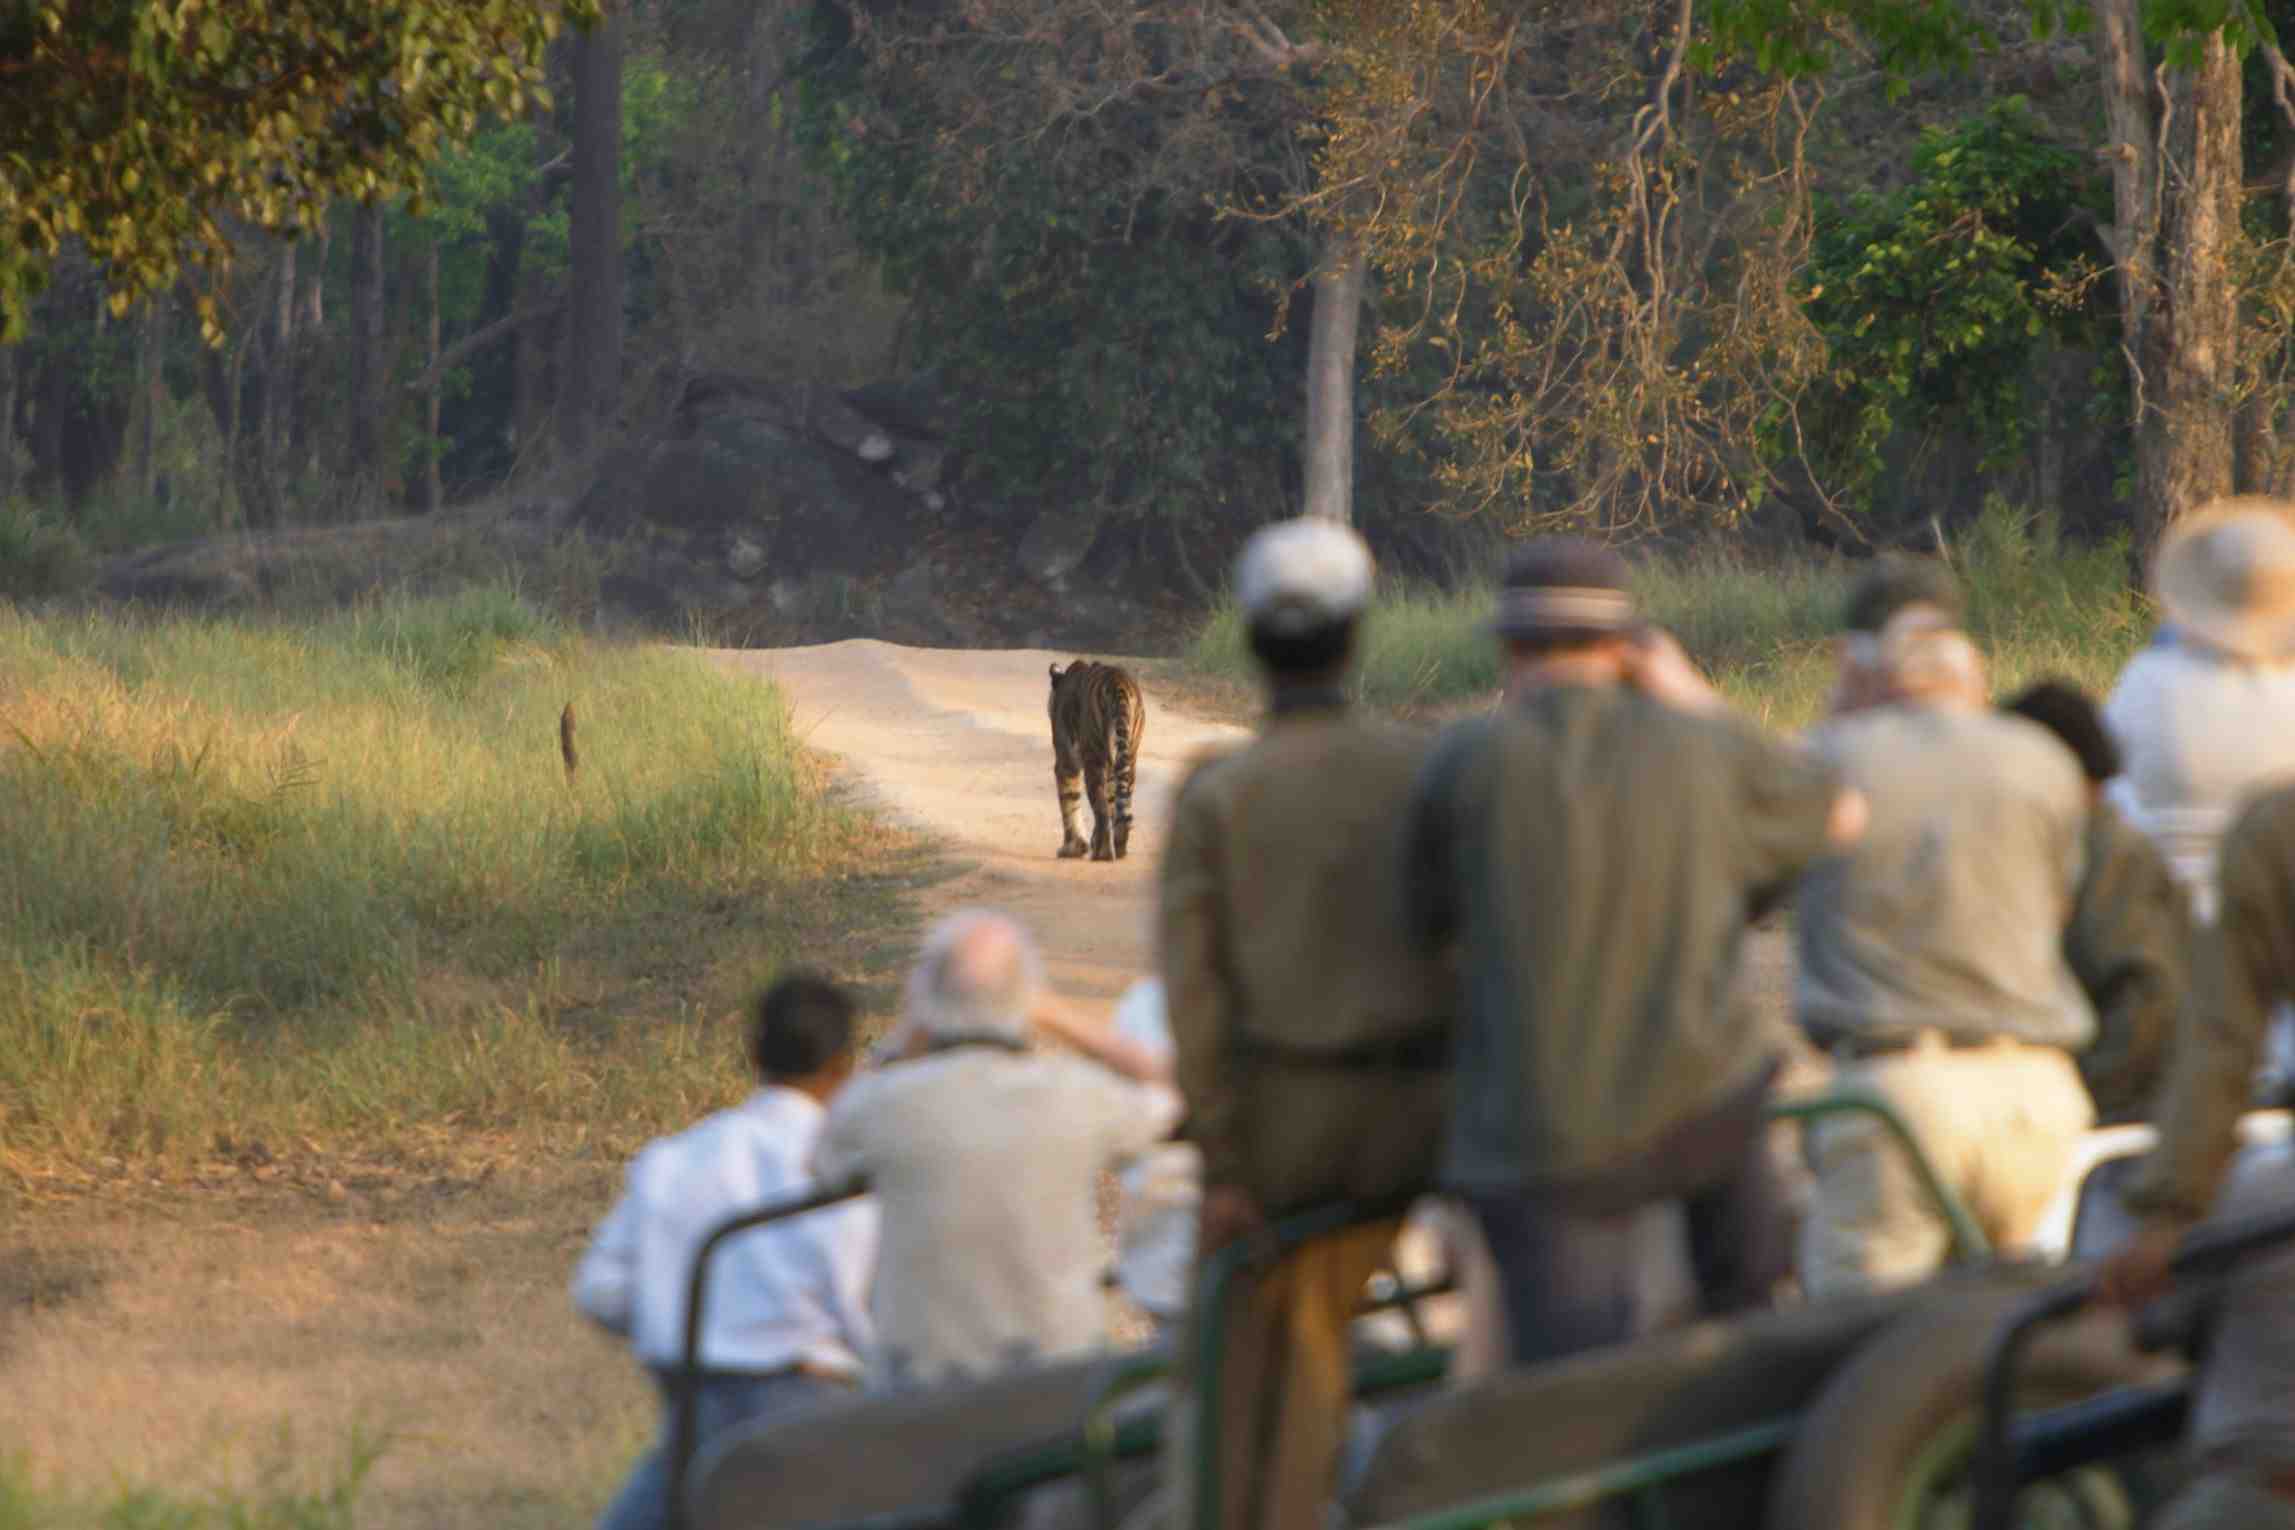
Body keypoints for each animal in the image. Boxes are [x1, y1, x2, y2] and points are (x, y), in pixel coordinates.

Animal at [1046, 660, 1142, 862]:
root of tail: (1118, 681)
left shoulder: (1066, 762)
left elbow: (1069, 802)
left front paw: (1072, 848)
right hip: (1128, 757)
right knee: (1120, 808)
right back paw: (1119, 849)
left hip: (1093, 760)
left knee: (1102, 810)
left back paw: (1103, 853)